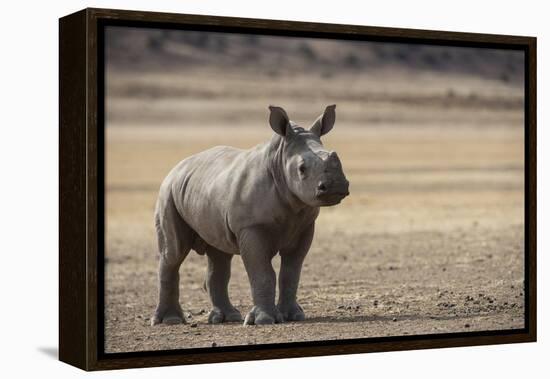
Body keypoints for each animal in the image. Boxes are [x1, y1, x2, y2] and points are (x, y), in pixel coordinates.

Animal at [151, 104, 350, 326]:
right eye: (302, 169)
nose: (336, 186)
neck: (278, 160)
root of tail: (178, 166)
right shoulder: (251, 227)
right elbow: (262, 272)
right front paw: (264, 320)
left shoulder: (304, 226)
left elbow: (291, 272)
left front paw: (293, 316)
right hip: (168, 192)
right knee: (173, 253)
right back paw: (170, 321)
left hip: (203, 188)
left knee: (219, 256)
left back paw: (227, 317)